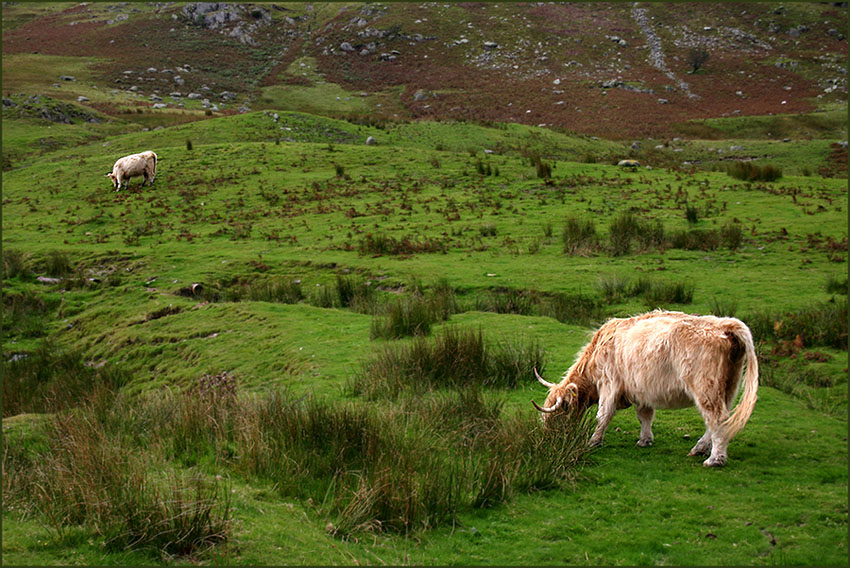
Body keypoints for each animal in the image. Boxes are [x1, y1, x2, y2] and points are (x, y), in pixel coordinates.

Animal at [532, 310, 760, 466]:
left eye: (558, 414)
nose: (546, 437)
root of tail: (724, 324)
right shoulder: (641, 392)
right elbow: (645, 416)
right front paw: (645, 440)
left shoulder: (609, 384)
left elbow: (603, 415)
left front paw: (594, 441)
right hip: (729, 386)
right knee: (717, 421)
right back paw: (700, 449)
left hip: (705, 387)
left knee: (716, 419)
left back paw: (715, 459)